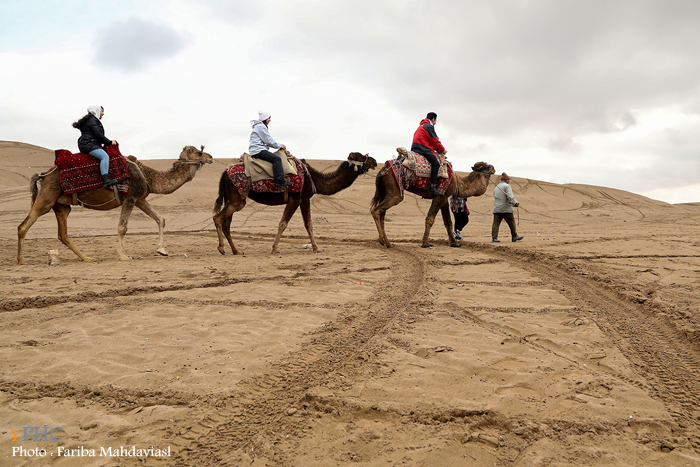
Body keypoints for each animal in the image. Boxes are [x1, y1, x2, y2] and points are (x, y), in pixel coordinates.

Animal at [17, 144, 213, 266]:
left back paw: (87, 258)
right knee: (24, 225)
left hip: (62, 206)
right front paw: (123, 255)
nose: (211, 157)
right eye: (199, 152)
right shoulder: (131, 198)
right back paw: (20, 260)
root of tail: (44, 174)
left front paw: (162, 250)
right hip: (46, 199)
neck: (148, 176)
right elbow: (122, 227)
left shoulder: (140, 199)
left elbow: (160, 219)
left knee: (63, 234)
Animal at [213, 153, 378, 256]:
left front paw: (317, 248)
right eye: (362, 156)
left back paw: (236, 251)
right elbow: (283, 223)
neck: (313, 178)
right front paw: (274, 249)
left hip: (233, 198)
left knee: (226, 224)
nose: (375, 161)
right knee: (218, 218)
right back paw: (221, 248)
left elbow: (309, 224)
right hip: (237, 199)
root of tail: (224, 173)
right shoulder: (295, 199)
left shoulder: (304, 199)